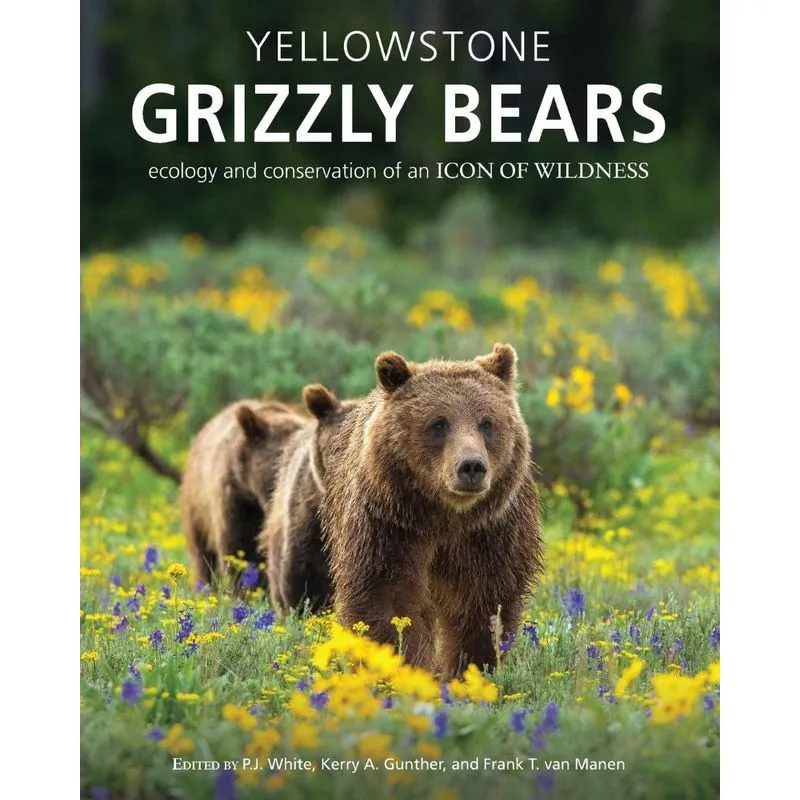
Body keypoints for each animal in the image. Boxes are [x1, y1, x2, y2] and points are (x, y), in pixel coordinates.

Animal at [321, 343, 544, 679]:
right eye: (439, 423)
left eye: (486, 422)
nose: (471, 466)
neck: (445, 517)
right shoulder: (390, 526)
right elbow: (388, 599)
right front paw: (404, 666)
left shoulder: (491, 533)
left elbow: (483, 603)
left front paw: (466, 669)